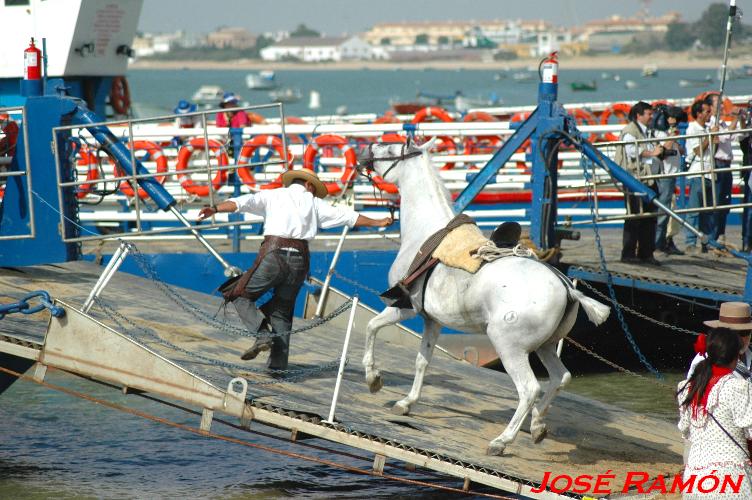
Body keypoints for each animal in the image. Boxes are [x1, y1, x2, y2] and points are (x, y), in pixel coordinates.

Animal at [360, 139, 612, 456]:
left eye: (392, 151)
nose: (366, 152)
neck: (426, 235)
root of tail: (568, 288)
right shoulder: (432, 321)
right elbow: (422, 361)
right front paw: (407, 402)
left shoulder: (405, 307)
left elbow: (371, 328)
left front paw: (373, 378)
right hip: (545, 346)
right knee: (559, 378)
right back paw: (537, 425)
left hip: (509, 347)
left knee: (530, 388)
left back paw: (503, 440)